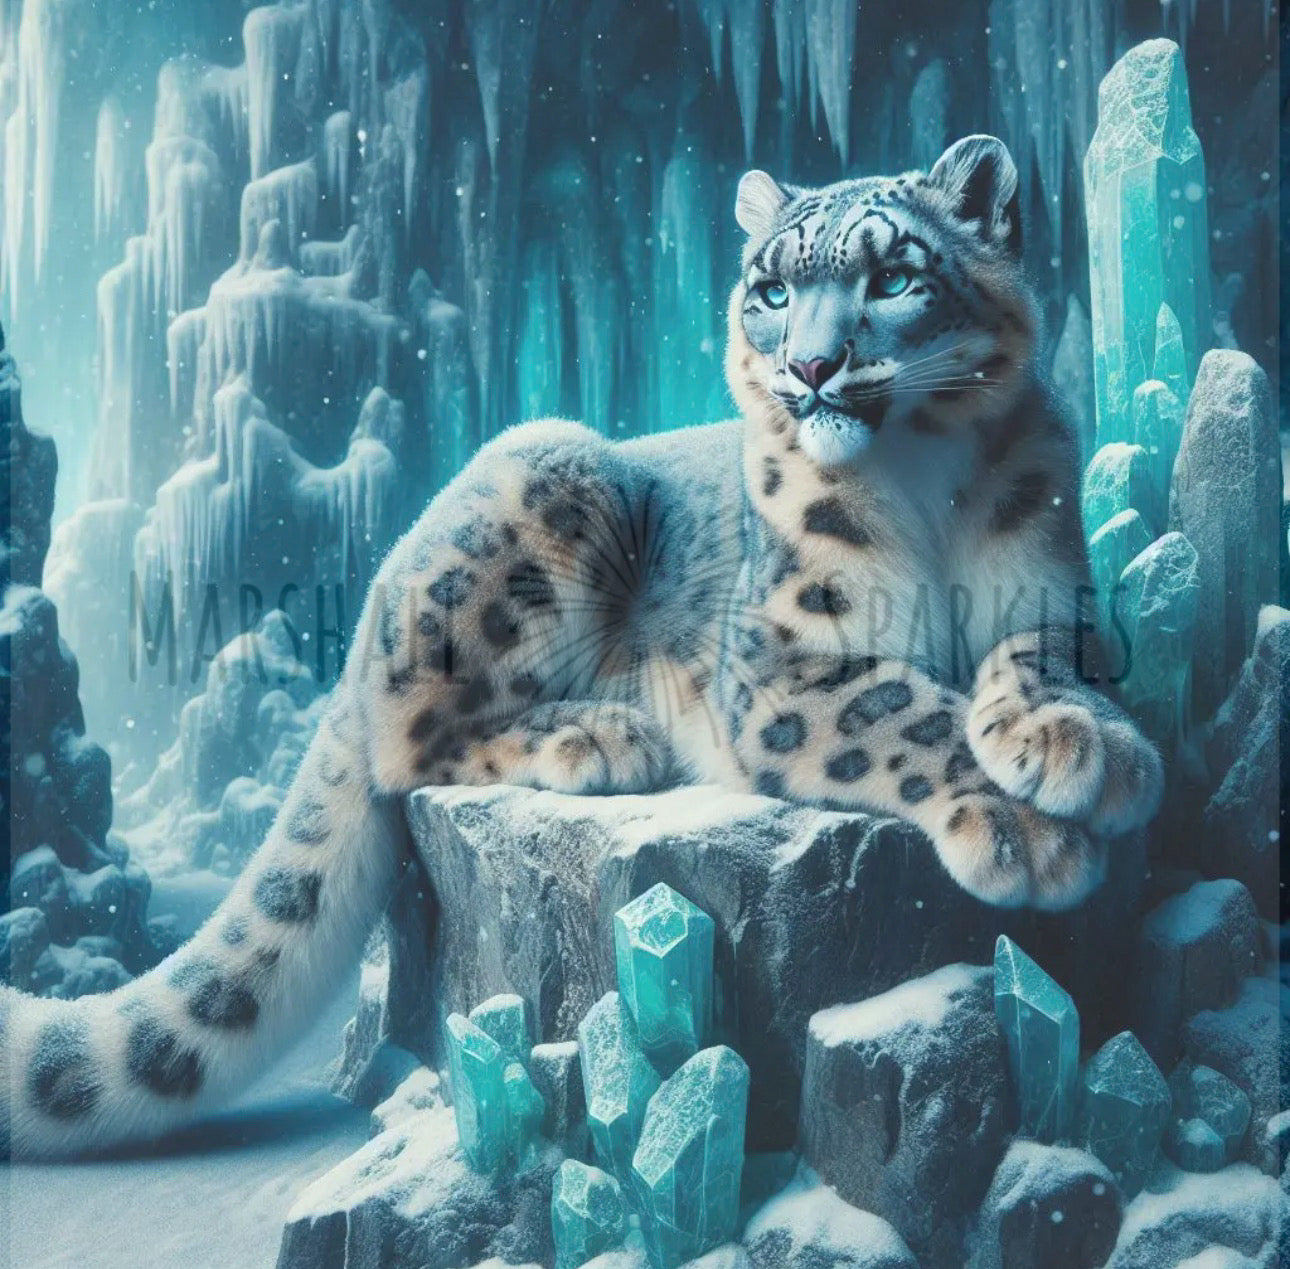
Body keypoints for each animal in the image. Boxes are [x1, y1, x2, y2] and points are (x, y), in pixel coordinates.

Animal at [1, 136, 1162, 1158]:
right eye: (770, 289)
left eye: (895, 274)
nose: (811, 365)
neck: (931, 486)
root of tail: (375, 592)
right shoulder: (778, 664)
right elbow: (907, 707)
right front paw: (1032, 828)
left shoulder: (1057, 596)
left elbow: (1039, 664)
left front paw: (1085, 743)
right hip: (544, 484)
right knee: (408, 738)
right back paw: (597, 734)